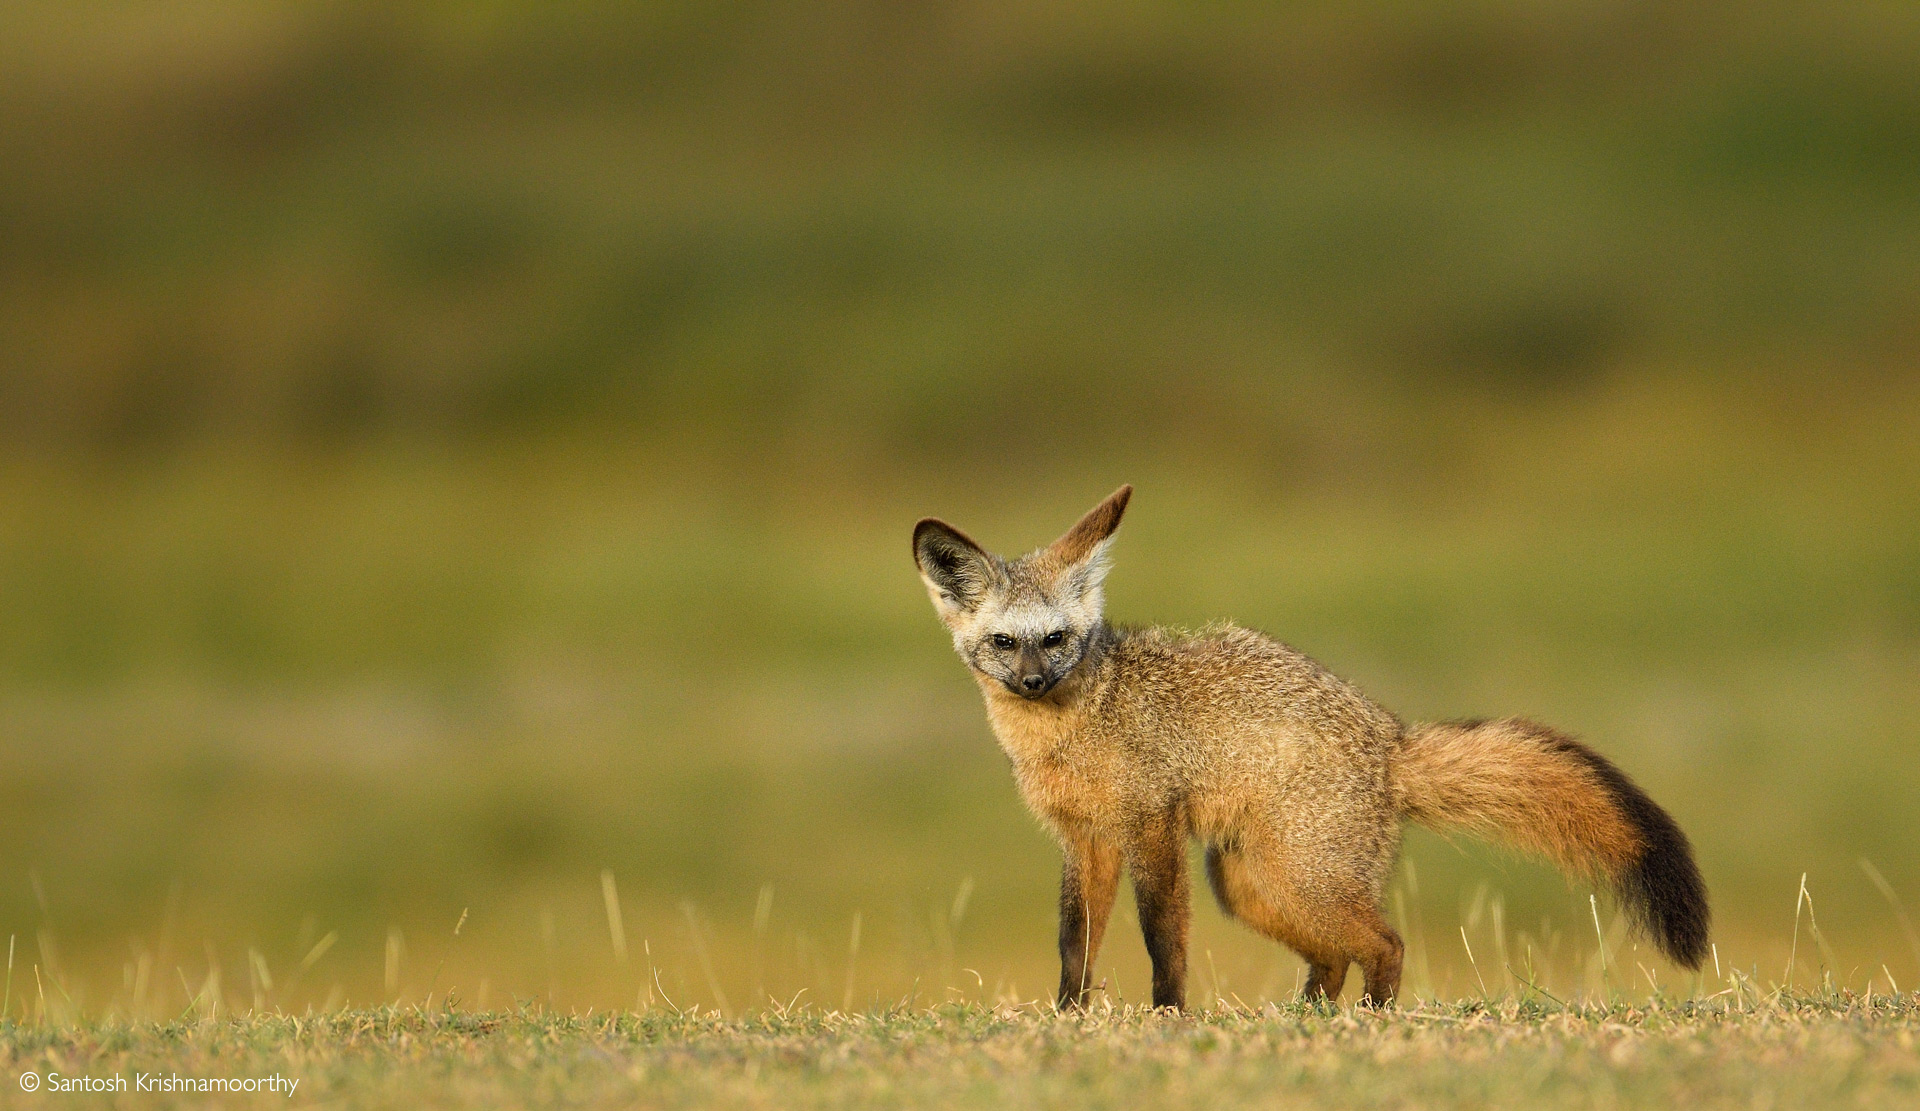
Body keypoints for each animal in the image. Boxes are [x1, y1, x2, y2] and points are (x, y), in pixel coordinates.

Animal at [913, 487, 1712, 1005]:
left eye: (1055, 638)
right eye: (1004, 642)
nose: (1033, 681)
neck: (1076, 726)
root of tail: (1391, 741)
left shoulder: (1152, 829)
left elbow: (1162, 940)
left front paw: (1167, 1017)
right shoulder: (1086, 841)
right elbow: (1074, 946)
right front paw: (1068, 1019)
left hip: (1296, 879)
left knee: (1385, 946)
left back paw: (1370, 1021)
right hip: (1251, 886)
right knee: (1334, 956)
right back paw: (1312, 1020)